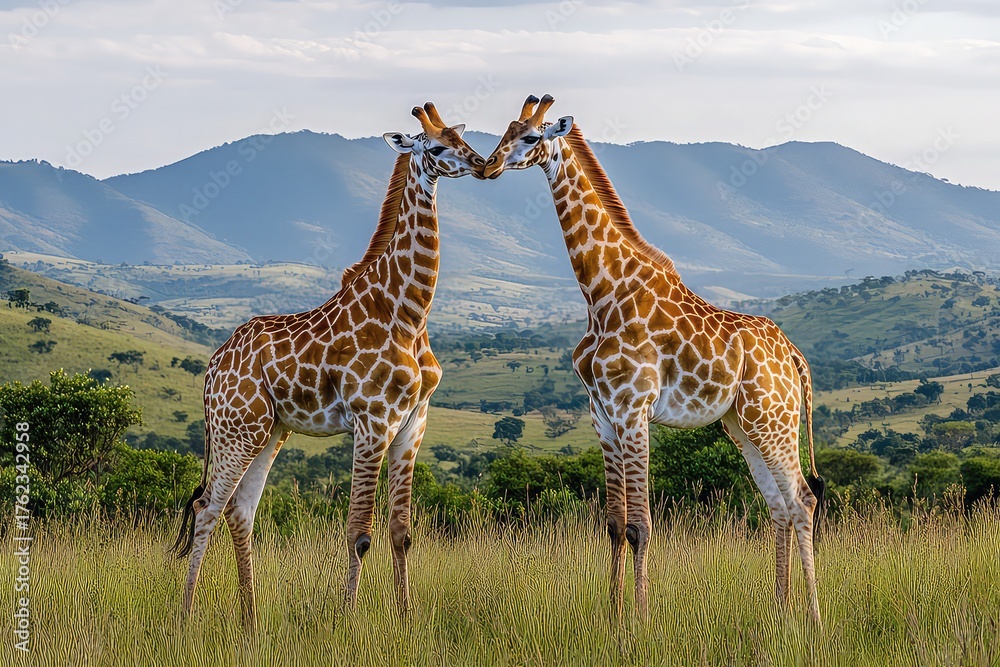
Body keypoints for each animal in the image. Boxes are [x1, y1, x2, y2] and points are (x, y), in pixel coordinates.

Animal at [172, 102, 485, 627]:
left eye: (462, 139)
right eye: (437, 147)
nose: (483, 164)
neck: (408, 312)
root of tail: (212, 369)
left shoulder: (413, 421)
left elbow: (402, 531)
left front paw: (406, 618)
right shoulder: (373, 420)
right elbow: (360, 532)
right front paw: (349, 619)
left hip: (270, 431)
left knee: (239, 511)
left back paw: (251, 619)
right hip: (238, 430)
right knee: (206, 507)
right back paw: (188, 614)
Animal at [482, 95, 825, 624]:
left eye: (533, 137)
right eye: (505, 130)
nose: (489, 165)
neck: (602, 292)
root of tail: (793, 354)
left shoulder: (633, 407)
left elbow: (640, 525)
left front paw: (640, 619)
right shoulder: (602, 413)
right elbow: (613, 523)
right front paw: (612, 614)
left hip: (773, 418)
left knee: (803, 500)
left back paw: (812, 616)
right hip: (743, 425)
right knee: (779, 505)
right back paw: (779, 610)